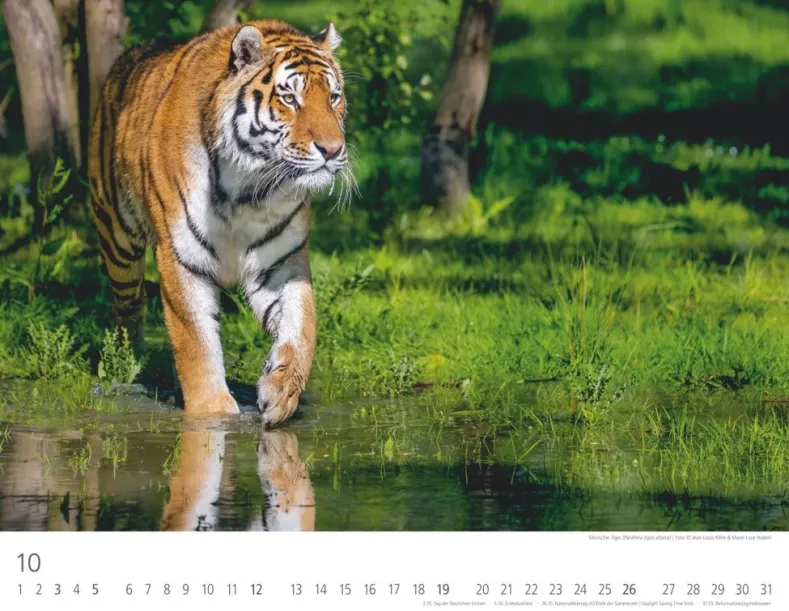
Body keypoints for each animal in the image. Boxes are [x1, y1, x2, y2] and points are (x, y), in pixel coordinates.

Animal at [87, 20, 350, 426]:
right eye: (290, 99)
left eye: (334, 97)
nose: (333, 150)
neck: (248, 189)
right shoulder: (182, 258)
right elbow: (195, 342)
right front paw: (213, 415)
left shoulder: (281, 263)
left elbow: (301, 326)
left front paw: (281, 392)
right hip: (117, 238)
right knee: (128, 307)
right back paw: (126, 365)